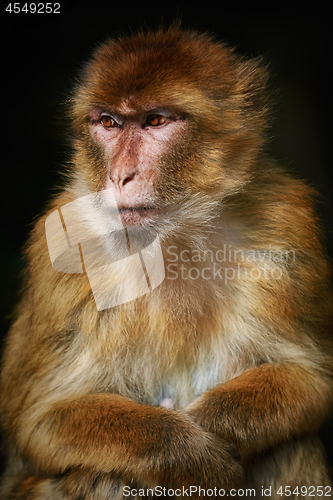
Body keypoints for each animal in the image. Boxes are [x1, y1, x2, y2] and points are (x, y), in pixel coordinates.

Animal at [0, 25, 332, 500]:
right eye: (109, 123)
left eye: (156, 121)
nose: (120, 175)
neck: (172, 238)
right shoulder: (64, 251)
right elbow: (42, 420)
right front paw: (187, 452)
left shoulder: (287, 228)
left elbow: (310, 379)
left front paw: (212, 426)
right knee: (101, 475)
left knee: (292, 445)